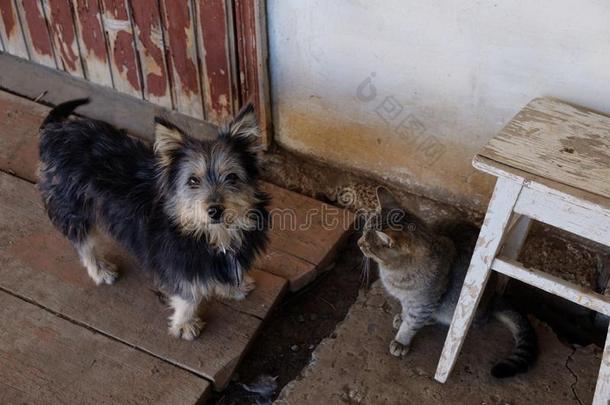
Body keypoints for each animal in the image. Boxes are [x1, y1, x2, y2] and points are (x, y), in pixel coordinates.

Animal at [36, 99, 268, 340]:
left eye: (231, 177)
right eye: (192, 181)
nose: (215, 211)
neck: (214, 235)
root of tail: (56, 131)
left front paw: (233, 287)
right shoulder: (177, 265)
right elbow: (187, 296)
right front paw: (185, 324)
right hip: (72, 209)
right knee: (84, 244)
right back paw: (100, 270)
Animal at [356, 188, 536, 378]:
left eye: (367, 244)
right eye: (363, 231)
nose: (358, 243)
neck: (393, 273)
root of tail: (493, 298)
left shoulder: (424, 303)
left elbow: (411, 323)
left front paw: (401, 340)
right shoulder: (408, 299)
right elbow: (406, 310)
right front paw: (403, 316)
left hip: (451, 307)